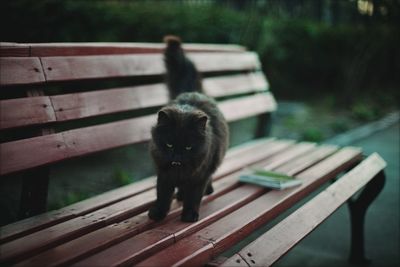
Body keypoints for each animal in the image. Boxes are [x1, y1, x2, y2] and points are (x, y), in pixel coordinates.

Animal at [148, 36, 230, 224]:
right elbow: (162, 196)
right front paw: (158, 213)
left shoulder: (199, 176)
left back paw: (206, 190)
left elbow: (194, 198)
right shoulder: (164, 175)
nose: (177, 156)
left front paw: (189, 215)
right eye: (169, 144)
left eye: (188, 147)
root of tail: (194, 92)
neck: (179, 171)